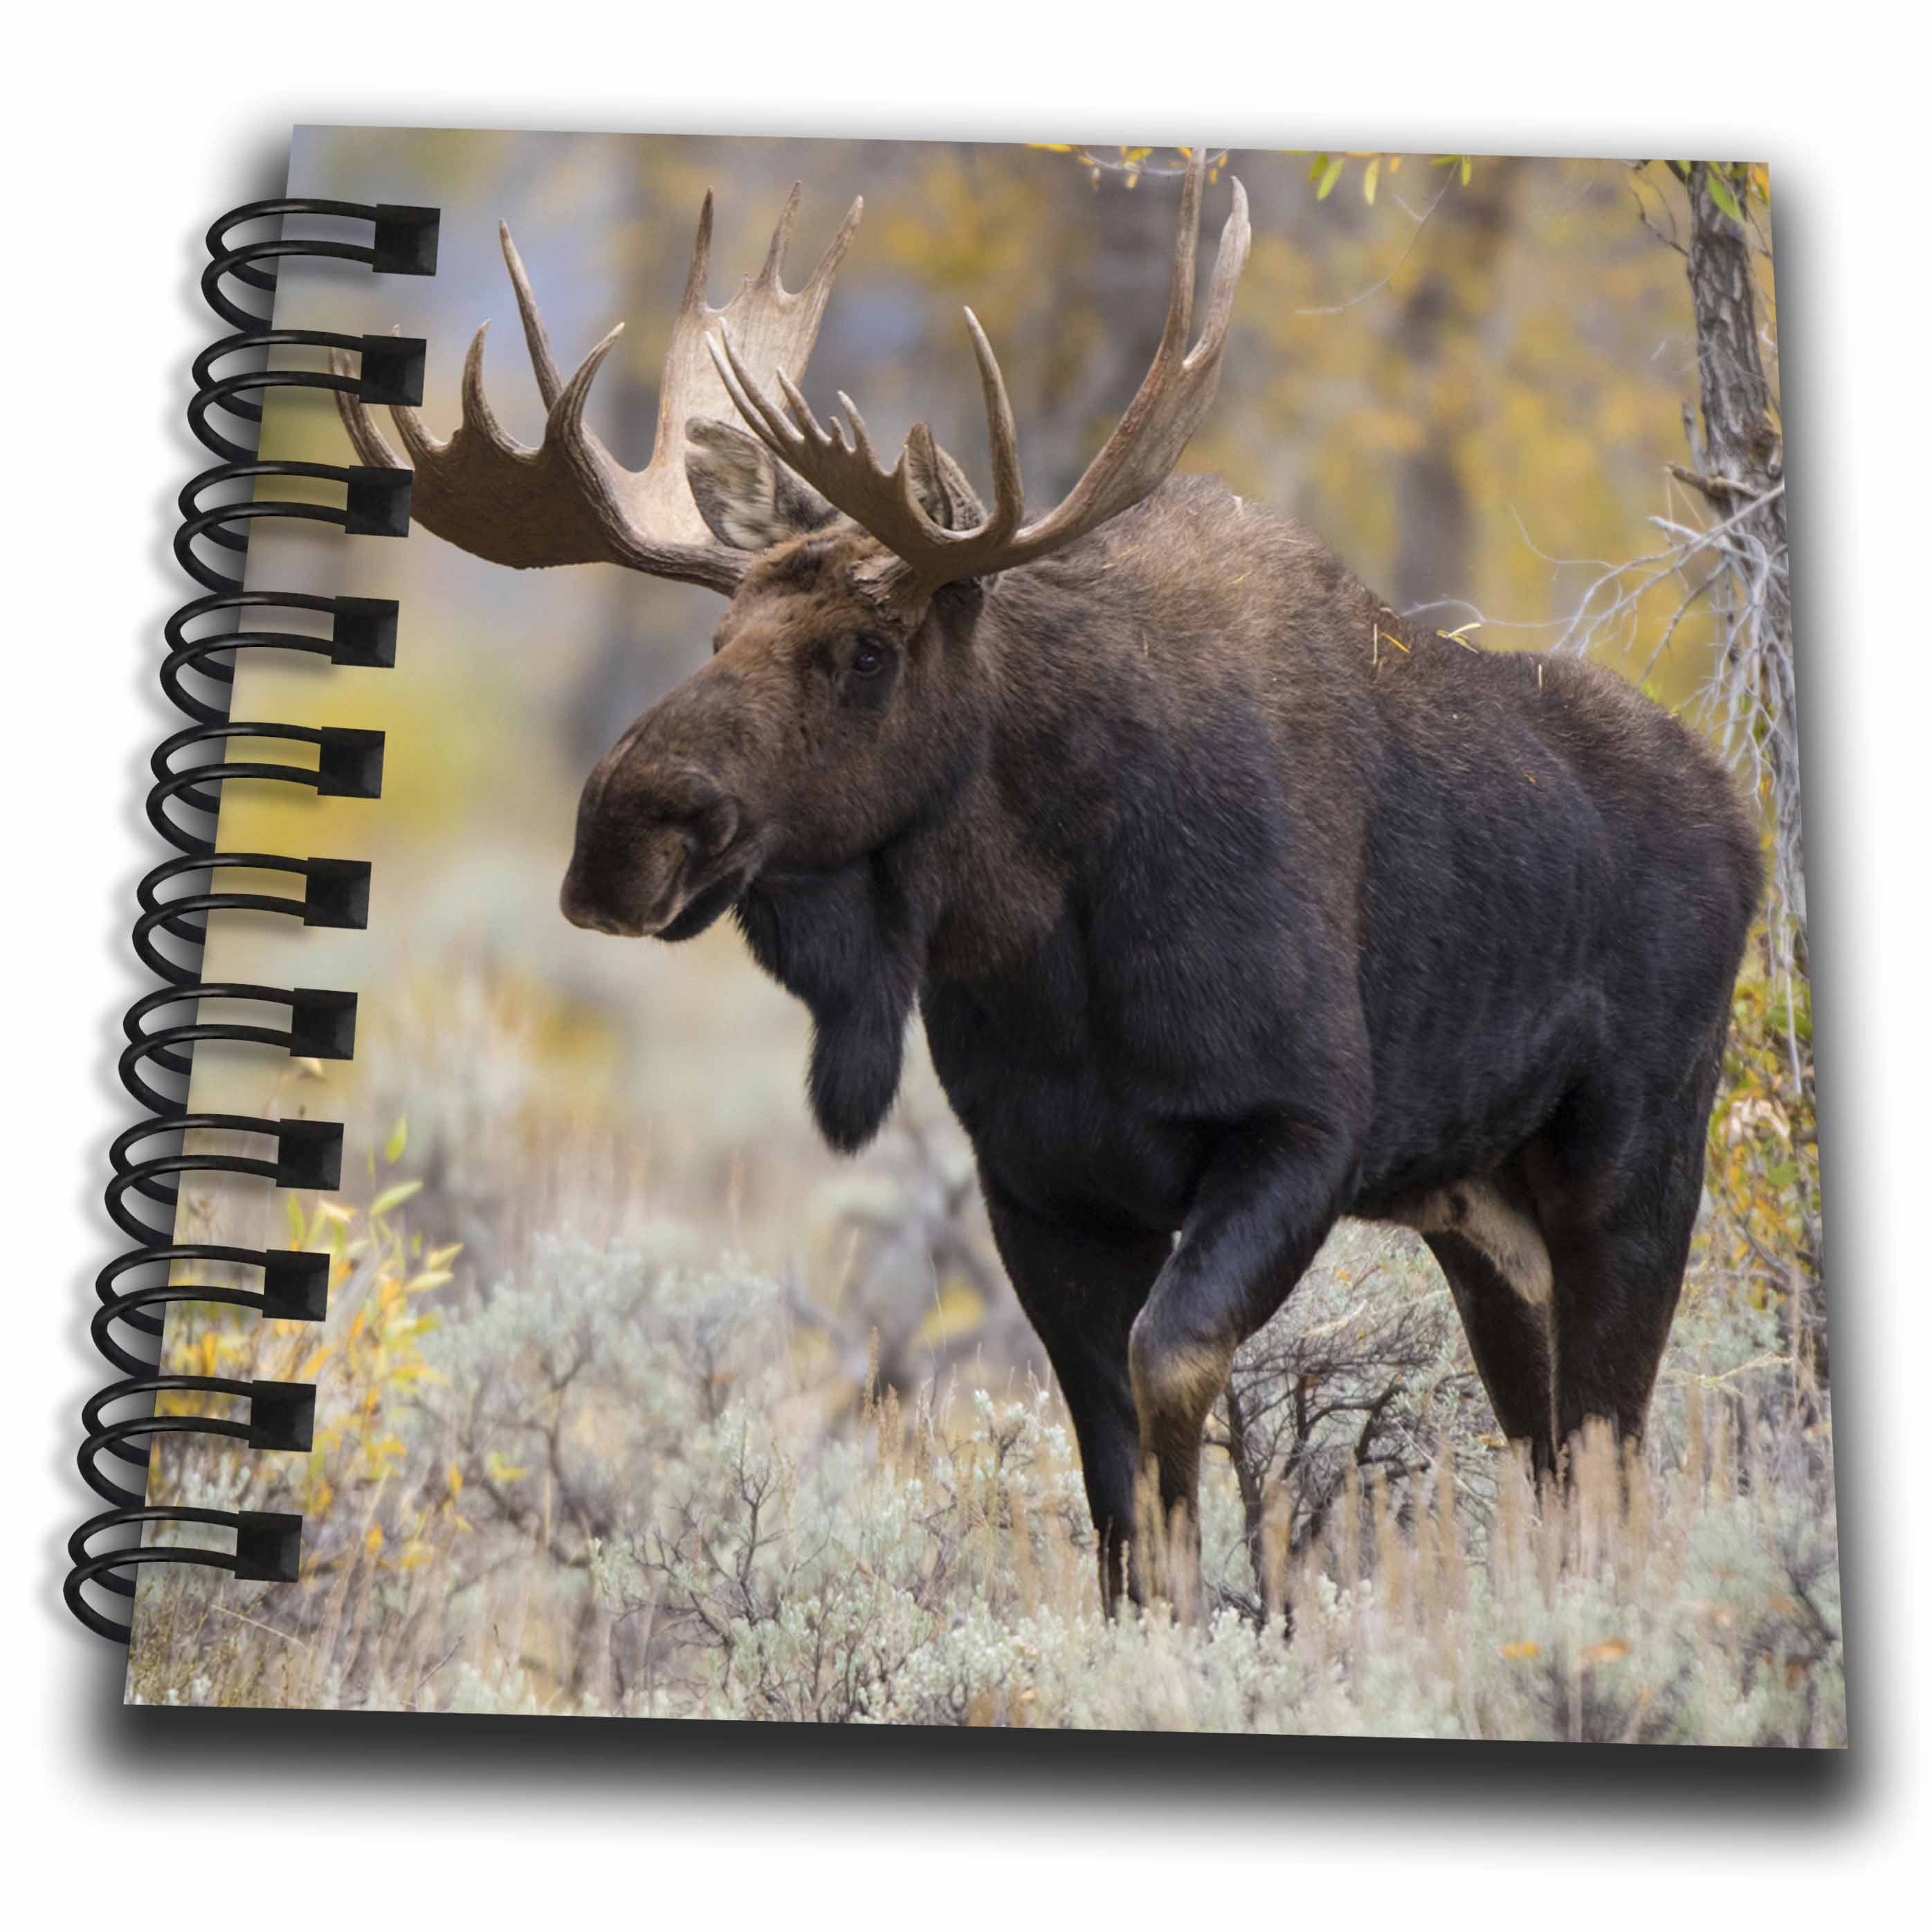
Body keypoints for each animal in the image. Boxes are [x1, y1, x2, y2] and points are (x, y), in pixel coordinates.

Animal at [338, 152, 1761, 1609]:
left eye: (867, 649)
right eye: (719, 632)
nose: (621, 835)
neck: (1045, 938)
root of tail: (1740, 819)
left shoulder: (1300, 1128)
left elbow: (1170, 1376)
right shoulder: (1036, 1180)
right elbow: (1110, 1471)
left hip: (1632, 1161)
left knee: (1608, 1452)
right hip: (1481, 1217)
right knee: (1551, 1448)